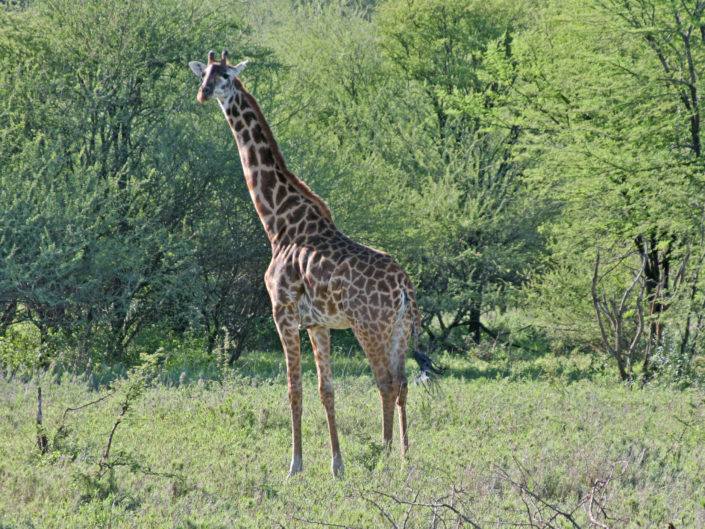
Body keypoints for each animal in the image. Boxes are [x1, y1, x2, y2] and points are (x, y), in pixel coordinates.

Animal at [189, 51, 441, 477]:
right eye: (204, 73)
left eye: (225, 76)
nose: (203, 94)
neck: (277, 222)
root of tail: (405, 288)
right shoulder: (319, 323)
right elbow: (327, 390)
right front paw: (336, 465)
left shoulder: (283, 313)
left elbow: (294, 389)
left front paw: (294, 466)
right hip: (401, 331)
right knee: (404, 382)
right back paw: (407, 459)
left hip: (368, 327)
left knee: (386, 383)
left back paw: (384, 459)